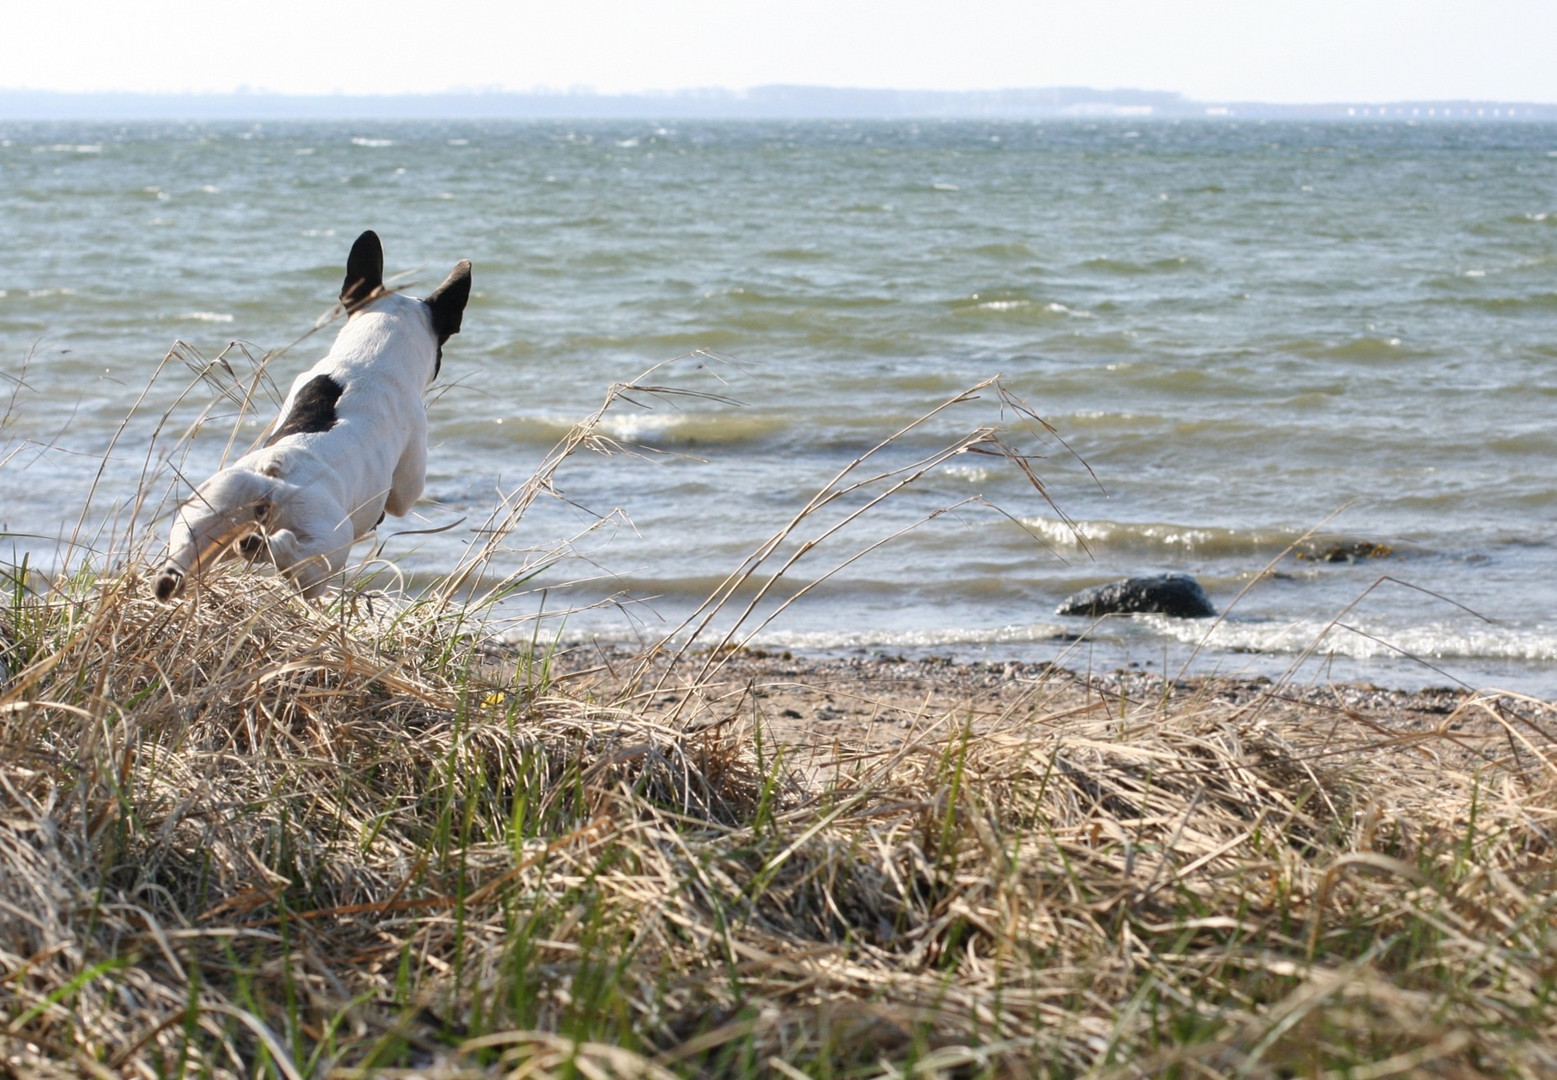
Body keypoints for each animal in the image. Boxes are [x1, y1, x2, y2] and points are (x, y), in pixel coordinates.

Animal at [152, 233, 470, 600]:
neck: (371, 357)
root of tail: (272, 473)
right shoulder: (411, 462)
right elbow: (404, 497)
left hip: (208, 508)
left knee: (182, 555)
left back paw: (176, 578)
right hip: (328, 537)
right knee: (295, 555)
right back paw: (258, 546)